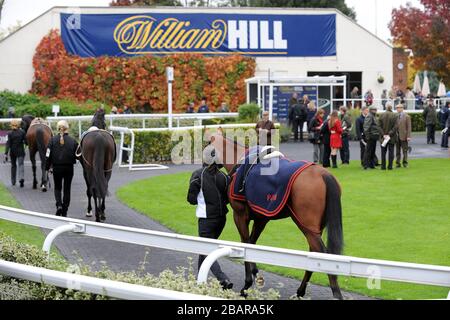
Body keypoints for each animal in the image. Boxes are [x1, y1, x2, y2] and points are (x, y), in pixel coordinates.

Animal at [211, 132, 344, 300]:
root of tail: (323, 174)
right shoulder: (262, 217)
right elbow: (252, 243)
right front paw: (256, 275)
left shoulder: (240, 215)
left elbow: (246, 244)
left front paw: (247, 285)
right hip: (313, 226)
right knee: (313, 251)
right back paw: (300, 291)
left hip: (306, 225)